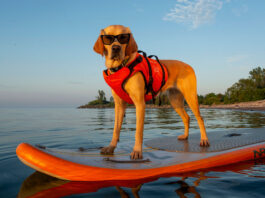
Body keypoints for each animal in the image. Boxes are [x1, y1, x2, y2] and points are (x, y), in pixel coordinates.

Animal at [93, 24, 208, 160]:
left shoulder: (140, 103)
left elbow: (138, 131)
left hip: (190, 97)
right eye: (107, 38)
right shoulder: (119, 105)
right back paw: (185, 136)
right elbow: (115, 130)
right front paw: (111, 147)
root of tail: (189, 66)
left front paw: (137, 151)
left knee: (200, 118)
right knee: (187, 117)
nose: (116, 48)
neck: (122, 66)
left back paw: (204, 140)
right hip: (175, 101)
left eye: (123, 37)